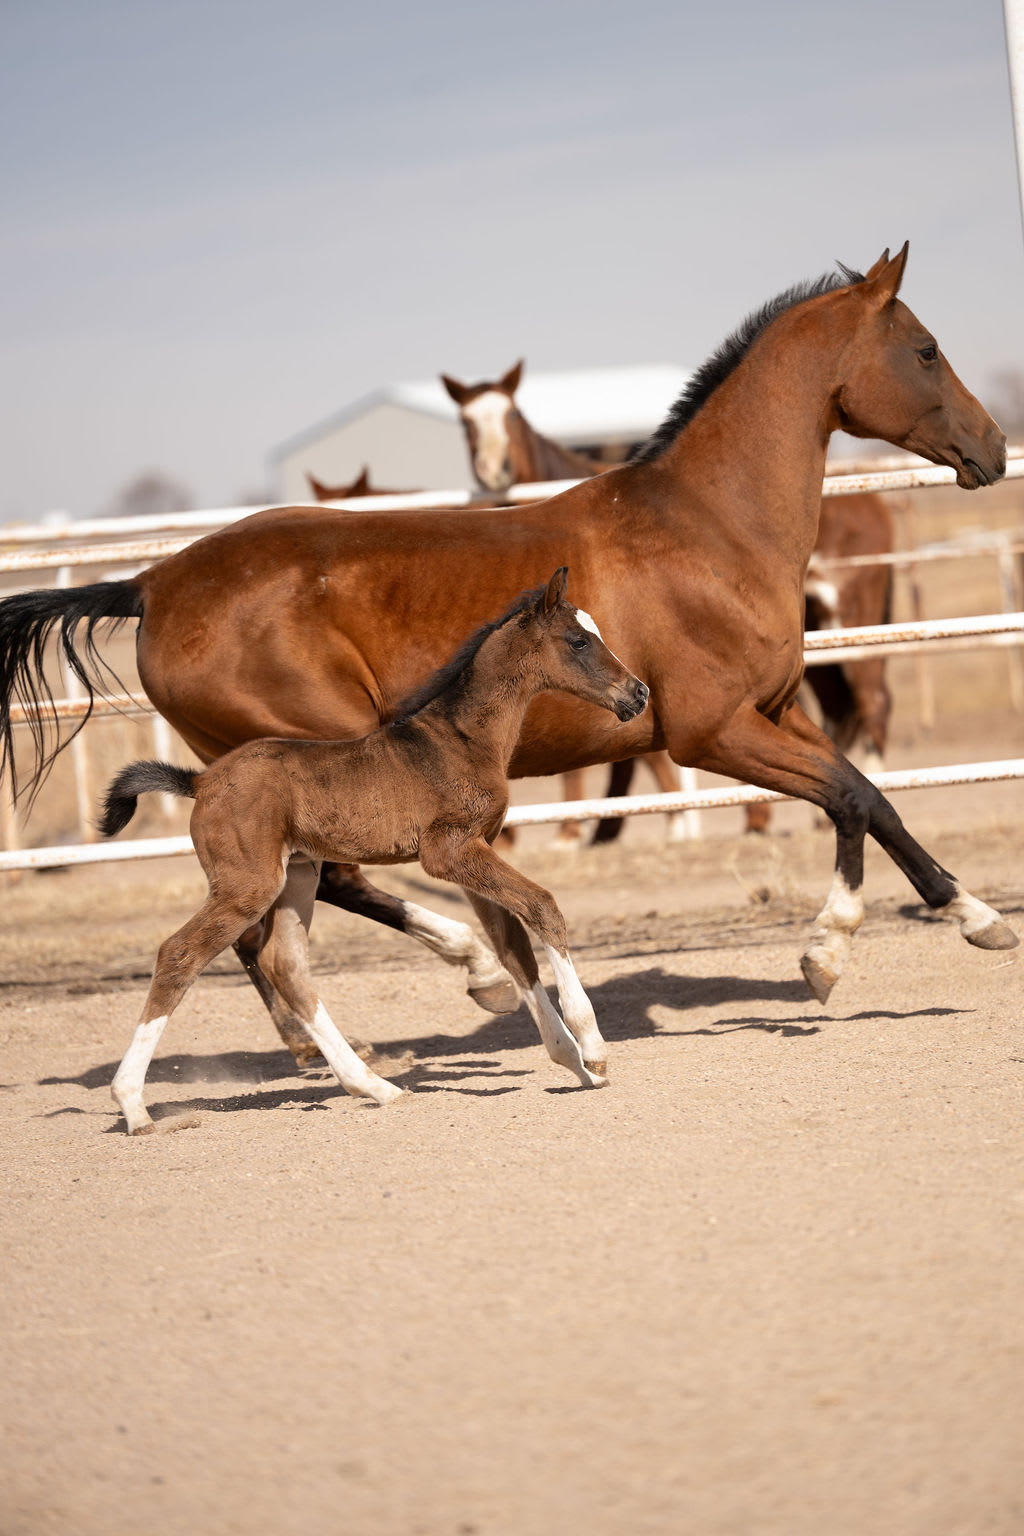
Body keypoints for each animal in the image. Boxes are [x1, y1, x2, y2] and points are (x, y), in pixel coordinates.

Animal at [1, 244, 1015, 1067]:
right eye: (927, 348)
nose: (995, 448)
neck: (707, 527)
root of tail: (153, 581)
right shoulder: (712, 733)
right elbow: (850, 796)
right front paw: (832, 949)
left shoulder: (774, 713)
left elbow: (870, 796)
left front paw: (968, 920)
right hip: (320, 758)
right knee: (324, 885)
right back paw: (467, 974)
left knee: (269, 921)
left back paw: (329, 1042)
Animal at [97, 569, 649, 1133]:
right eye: (578, 640)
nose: (639, 692)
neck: (462, 740)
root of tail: (201, 781)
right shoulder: (448, 851)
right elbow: (542, 907)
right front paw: (593, 1047)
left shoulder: (476, 850)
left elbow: (513, 946)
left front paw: (574, 1063)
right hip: (247, 885)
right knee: (180, 954)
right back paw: (133, 1105)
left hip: (297, 874)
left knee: (286, 966)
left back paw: (375, 1086)